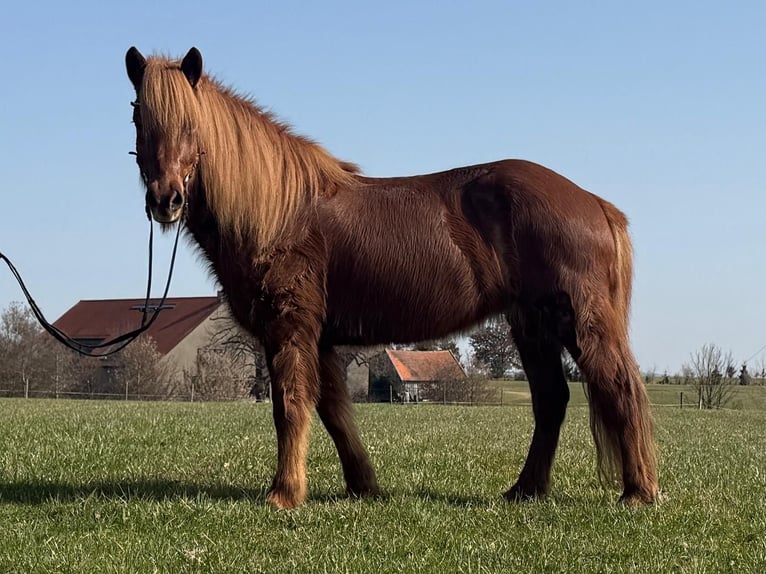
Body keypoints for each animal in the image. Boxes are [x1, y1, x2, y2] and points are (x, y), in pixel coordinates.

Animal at [125, 46, 659, 509]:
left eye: (190, 123)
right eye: (139, 119)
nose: (166, 200)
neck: (281, 212)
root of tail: (594, 203)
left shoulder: (291, 328)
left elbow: (291, 406)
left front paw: (284, 494)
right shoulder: (320, 340)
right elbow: (335, 413)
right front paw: (362, 486)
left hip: (578, 321)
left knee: (619, 389)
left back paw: (638, 493)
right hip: (532, 326)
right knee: (551, 401)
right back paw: (524, 491)